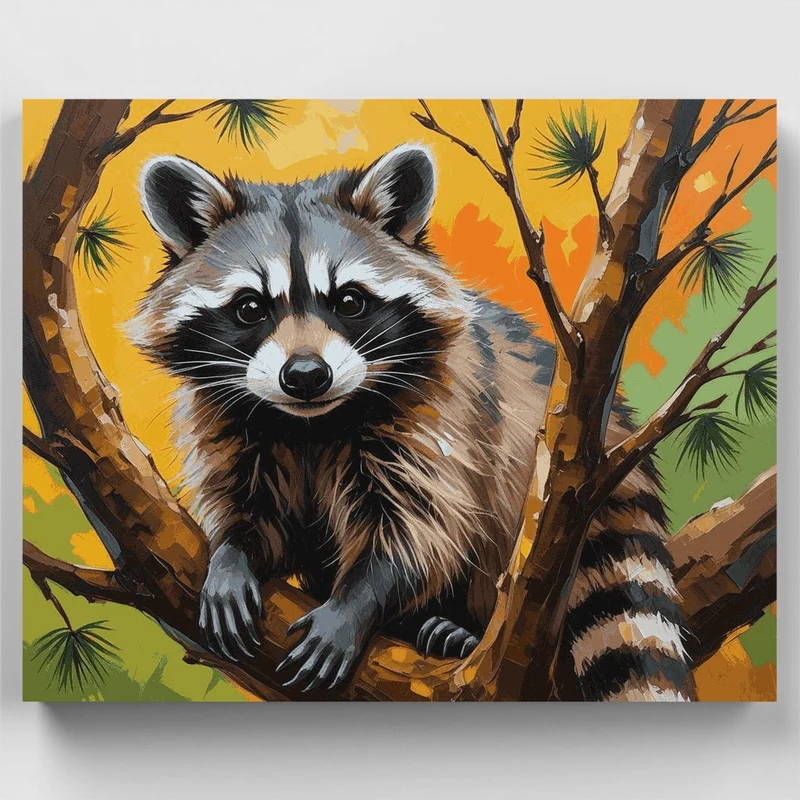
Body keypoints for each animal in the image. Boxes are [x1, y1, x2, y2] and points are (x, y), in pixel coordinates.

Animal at [131, 144, 694, 700]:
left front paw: (356, 603)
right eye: (250, 307)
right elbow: (252, 510)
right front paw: (231, 555)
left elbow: (419, 529)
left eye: (349, 301)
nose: (306, 375)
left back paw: (458, 628)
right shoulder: (230, 423)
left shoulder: (439, 413)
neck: (312, 423)